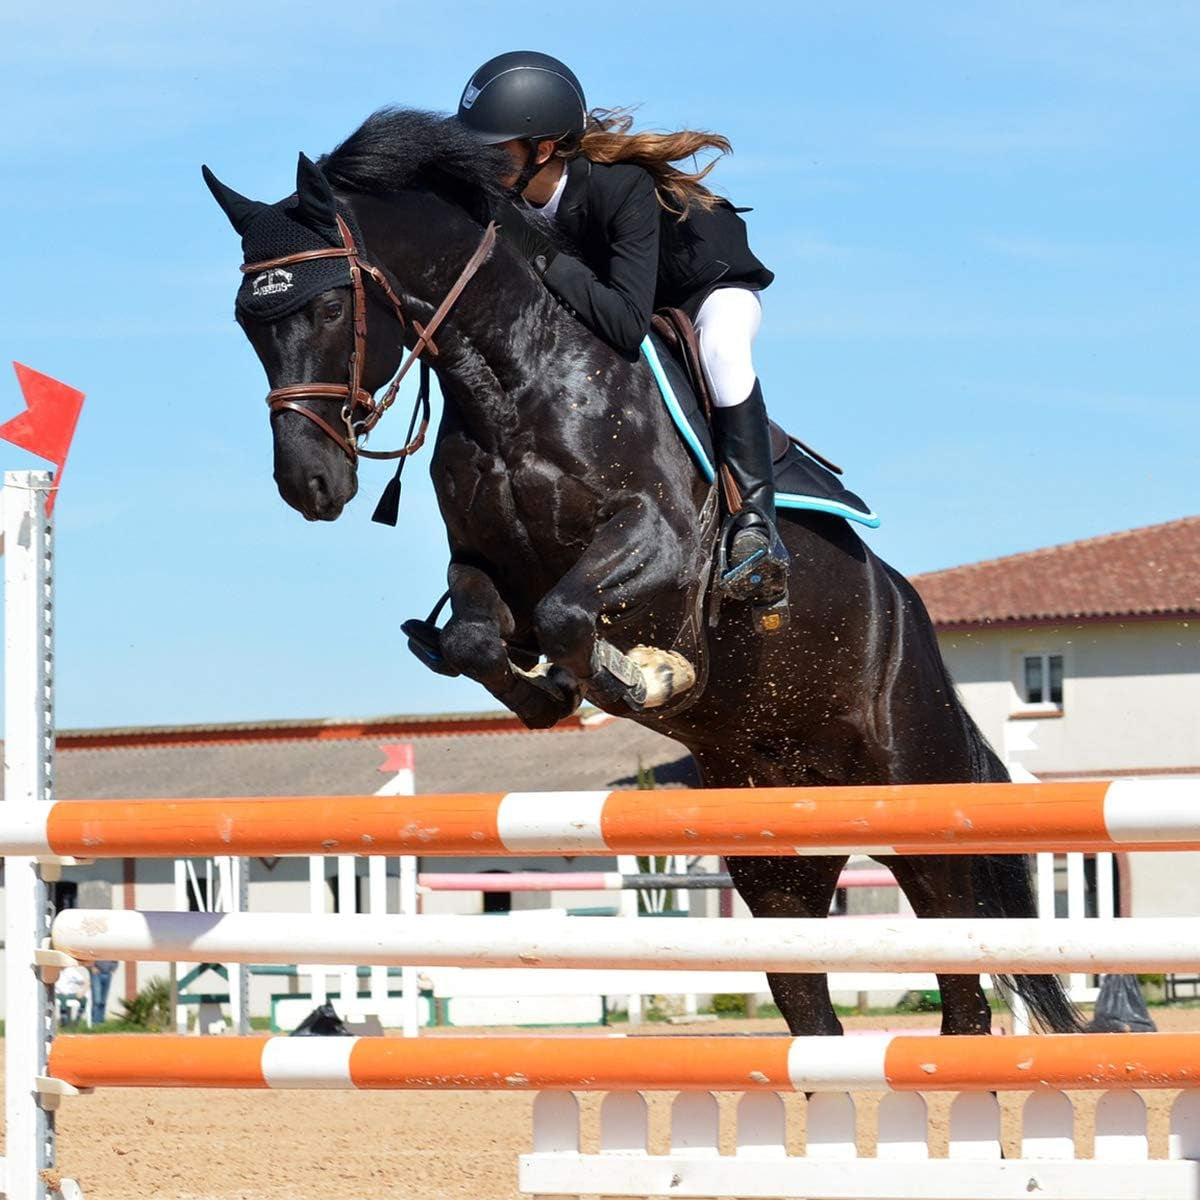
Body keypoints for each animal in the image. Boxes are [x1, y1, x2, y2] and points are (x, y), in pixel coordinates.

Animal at [204, 108, 1079, 1038]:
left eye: (333, 303)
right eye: (248, 324)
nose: (309, 484)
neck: (512, 378)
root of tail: (912, 620)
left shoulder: (660, 543)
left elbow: (571, 614)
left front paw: (649, 675)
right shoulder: (484, 567)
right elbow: (484, 639)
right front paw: (553, 694)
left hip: (922, 807)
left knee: (965, 994)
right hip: (777, 856)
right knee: (815, 1011)